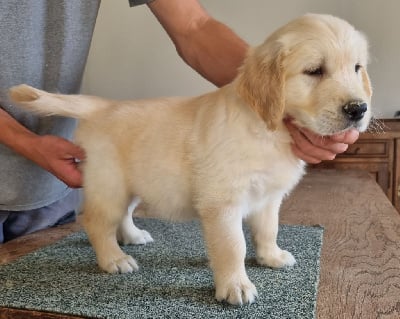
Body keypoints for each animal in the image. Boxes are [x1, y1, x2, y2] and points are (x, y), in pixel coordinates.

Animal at [9, 13, 372, 306]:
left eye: (357, 68)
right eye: (314, 71)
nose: (359, 109)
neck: (270, 130)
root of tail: (100, 106)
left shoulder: (269, 196)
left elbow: (268, 228)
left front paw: (271, 256)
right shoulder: (222, 202)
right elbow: (234, 246)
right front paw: (235, 286)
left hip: (135, 182)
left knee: (123, 214)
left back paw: (132, 236)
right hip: (108, 184)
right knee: (97, 222)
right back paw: (114, 258)